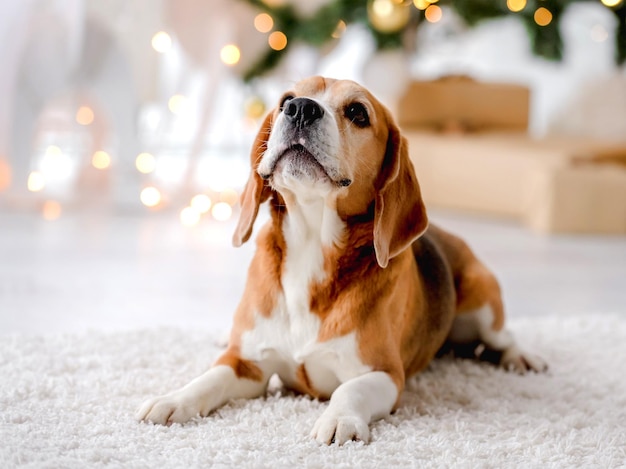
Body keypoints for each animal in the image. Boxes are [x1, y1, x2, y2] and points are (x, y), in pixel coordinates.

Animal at [135, 76, 540, 442]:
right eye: (286, 99)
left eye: (358, 112)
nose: (300, 108)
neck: (311, 244)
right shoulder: (248, 365)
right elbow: (209, 377)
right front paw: (173, 400)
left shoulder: (384, 374)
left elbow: (350, 390)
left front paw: (339, 419)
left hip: (482, 304)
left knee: (504, 335)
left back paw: (521, 358)